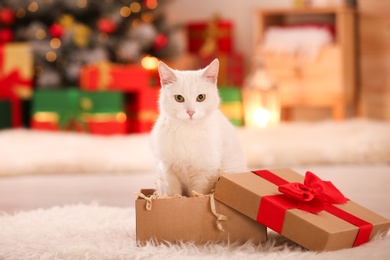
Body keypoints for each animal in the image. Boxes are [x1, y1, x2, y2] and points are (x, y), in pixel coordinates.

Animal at [150, 59, 247, 197]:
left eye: (201, 97)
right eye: (179, 98)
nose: (191, 112)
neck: (187, 131)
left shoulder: (204, 174)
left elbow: (197, 193)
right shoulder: (168, 171)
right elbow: (172, 193)